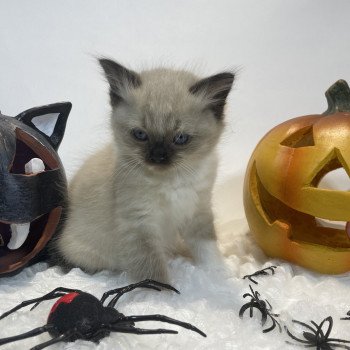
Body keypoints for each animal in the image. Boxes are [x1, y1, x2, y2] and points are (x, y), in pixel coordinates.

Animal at [54, 58, 235, 282]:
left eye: (180, 138)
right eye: (140, 134)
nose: (157, 156)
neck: (171, 180)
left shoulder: (197, 210)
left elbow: (207, 247)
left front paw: (220, 274)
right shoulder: (140, 225)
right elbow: (153, 271)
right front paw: (163, 292)